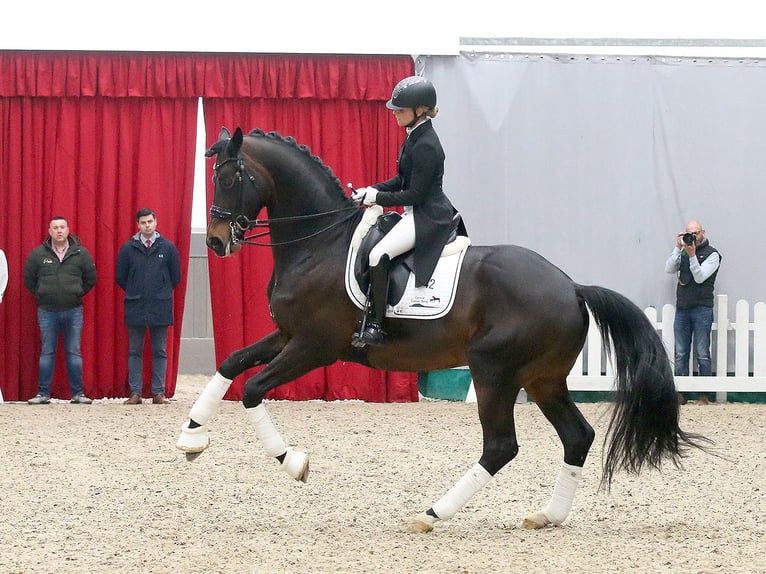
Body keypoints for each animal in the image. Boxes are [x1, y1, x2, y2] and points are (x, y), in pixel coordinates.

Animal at [177, 128, 712, 532]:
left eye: (230, 177)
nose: (219, 241)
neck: (319, 244)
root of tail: (571, 286)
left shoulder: (313, 347)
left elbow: (252, 389)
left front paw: (293, 461)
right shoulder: (287, 337)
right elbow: (230, 364)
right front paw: (190, 438)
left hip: (493, 371)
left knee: (501, 446)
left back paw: (433, 513)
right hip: (543, 379)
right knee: (576, 436)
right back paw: (547, 516)